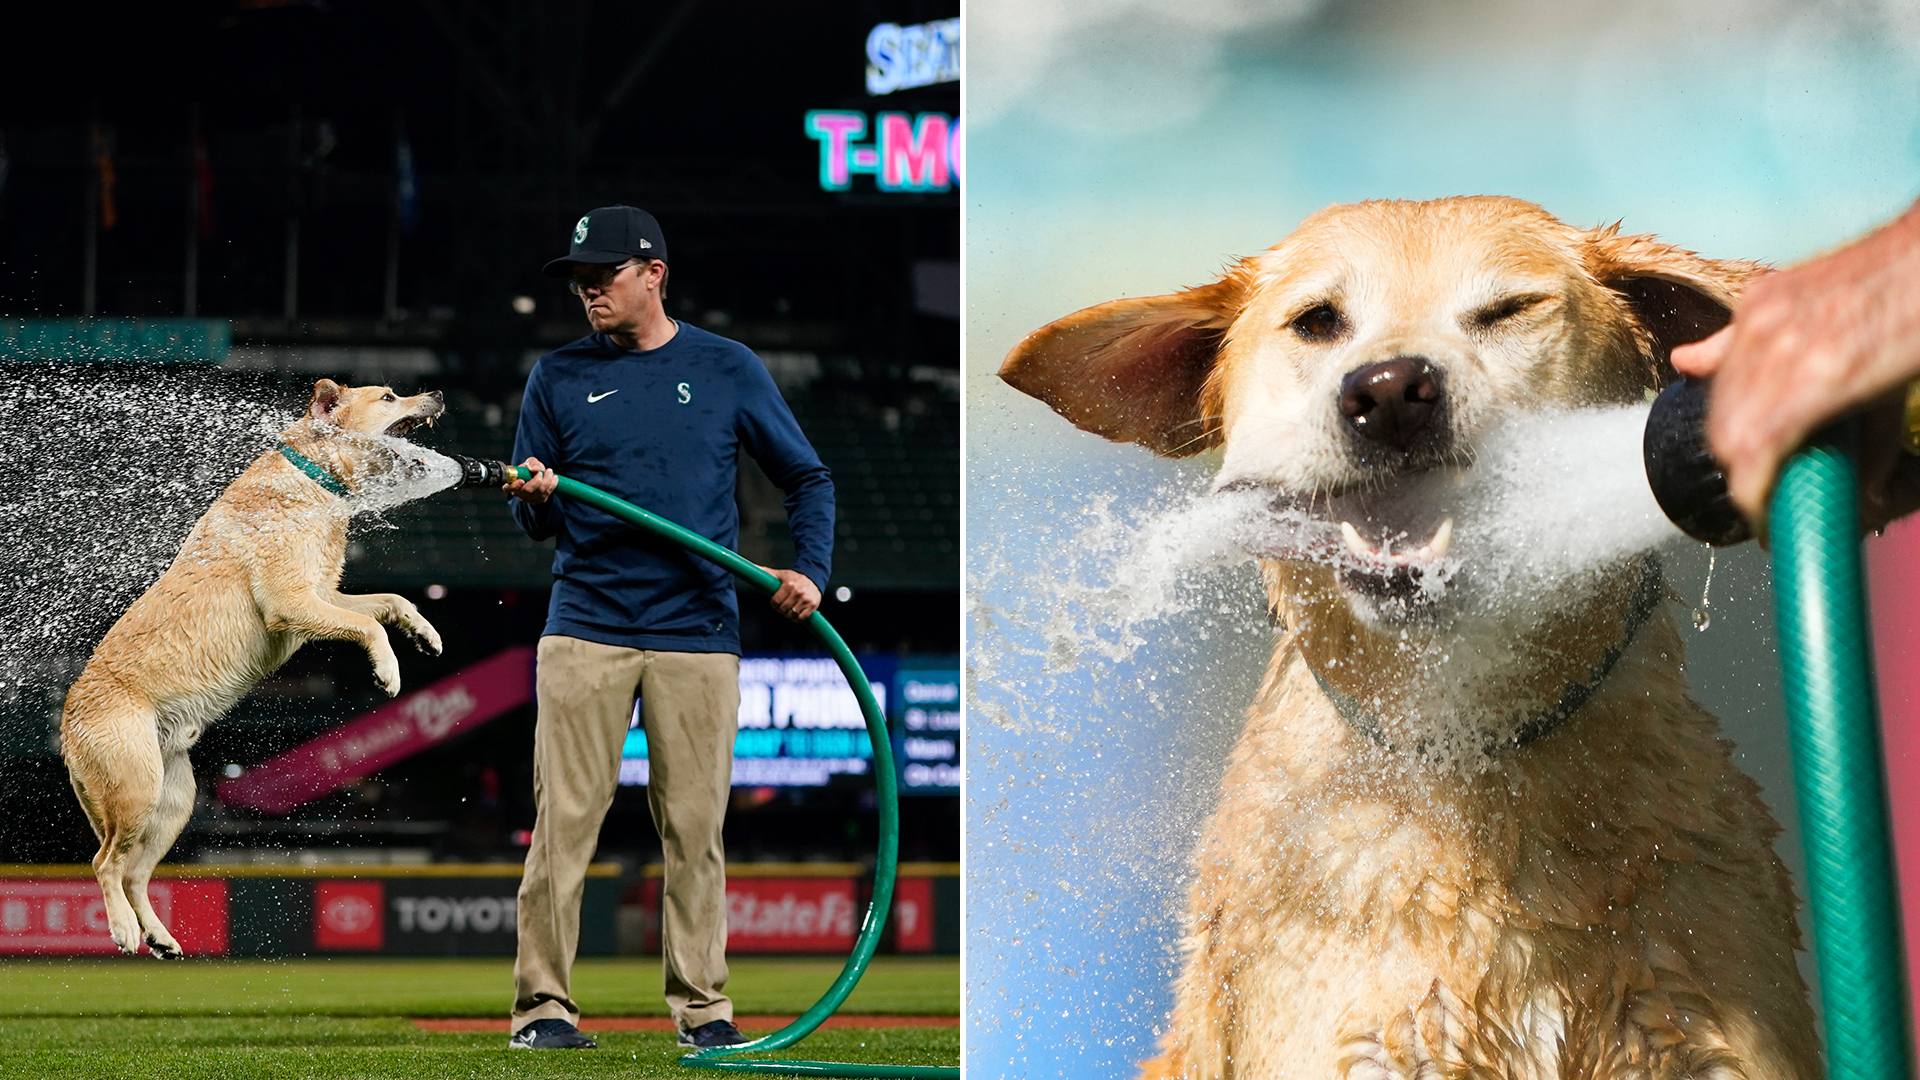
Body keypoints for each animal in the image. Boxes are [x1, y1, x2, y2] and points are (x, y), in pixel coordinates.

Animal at [57, 376, 449, 949]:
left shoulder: (322, 596)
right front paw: (388, 668)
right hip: (135, 787)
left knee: (134, 872)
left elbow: (390, 602)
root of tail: (66, 725)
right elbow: (371, 626)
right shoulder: (293, 604)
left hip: (173, 800)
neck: (313, 478)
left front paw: (423, 631)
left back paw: (159, 936)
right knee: (105, 862)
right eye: (388, 398)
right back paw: (125, 929)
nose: (439, 395)